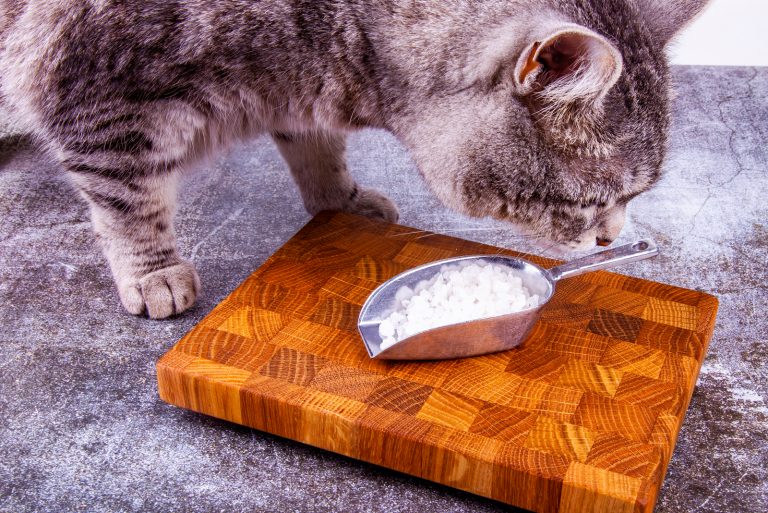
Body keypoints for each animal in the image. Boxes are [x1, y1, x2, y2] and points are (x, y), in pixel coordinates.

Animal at [0, 1, 708, 316]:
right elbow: (128, 200)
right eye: (592, 201)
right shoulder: (97, 91)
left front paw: (339, 202)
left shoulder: (295, 91)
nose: (611, 239)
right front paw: (153, 270)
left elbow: (314, 145)